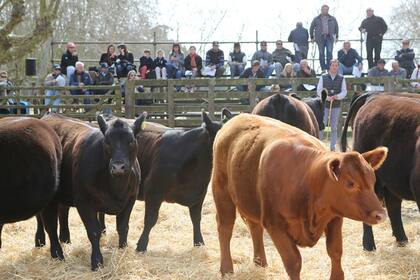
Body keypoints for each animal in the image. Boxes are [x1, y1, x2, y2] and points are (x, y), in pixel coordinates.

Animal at [38, 112, 144, 270]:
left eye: (131, 141)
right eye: (107, 142)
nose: (118, 167)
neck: (117, 187)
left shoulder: (130, 199)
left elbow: (123, 227)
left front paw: (122, 251)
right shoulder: (84, 202)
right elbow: (94, 231)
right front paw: (97, 261)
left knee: (62, 213)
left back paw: (65, 239)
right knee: (48, 224)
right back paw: (55, 252)